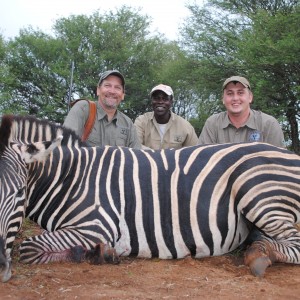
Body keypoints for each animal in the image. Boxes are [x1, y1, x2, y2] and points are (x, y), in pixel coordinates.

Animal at [0, 113, 298, 284]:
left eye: (19, 192)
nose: (1, 267)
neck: (72, 178)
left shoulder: (97, 225)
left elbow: (29, 247)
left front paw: (101, 254)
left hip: (258, 193)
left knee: (292, 244)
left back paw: (259, 255)